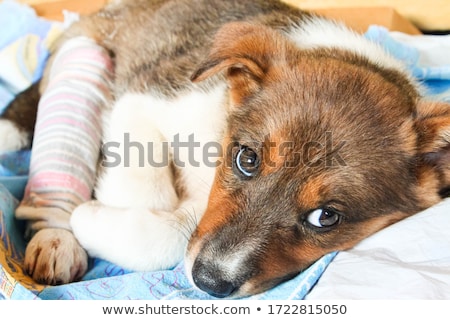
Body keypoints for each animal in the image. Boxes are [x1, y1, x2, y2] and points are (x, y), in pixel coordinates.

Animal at [0, 0, 450, 298]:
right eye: (246, 159)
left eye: (326, 217)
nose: (210, 284)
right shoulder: (141, 99)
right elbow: (146, 192)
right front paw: (96, 214)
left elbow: (172, 234)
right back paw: (57, 235)